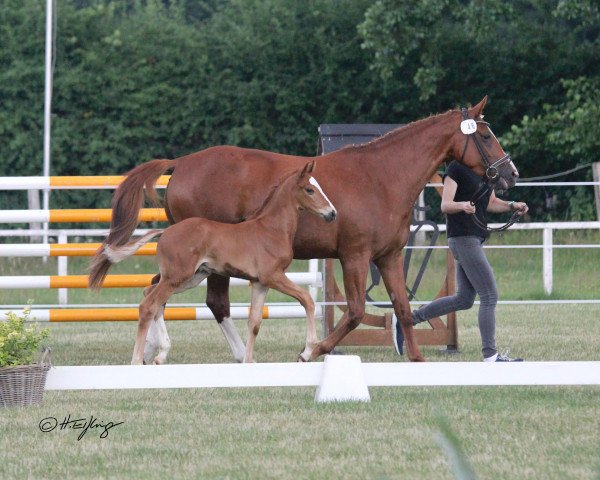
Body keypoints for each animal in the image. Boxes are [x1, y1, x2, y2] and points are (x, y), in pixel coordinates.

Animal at [95, 161, 336, 364]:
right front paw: (307, 351)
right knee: (149, 305)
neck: (270, 229)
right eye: (310, 189)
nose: (332, 213)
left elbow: (254, 322)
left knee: (150, 296)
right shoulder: (273, 276)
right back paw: (139, 360)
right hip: (176, 278)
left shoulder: (260, 283)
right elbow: (307, 300)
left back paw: (159, 354)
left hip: (190, 278)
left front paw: (249, 361)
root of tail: (166, 232)